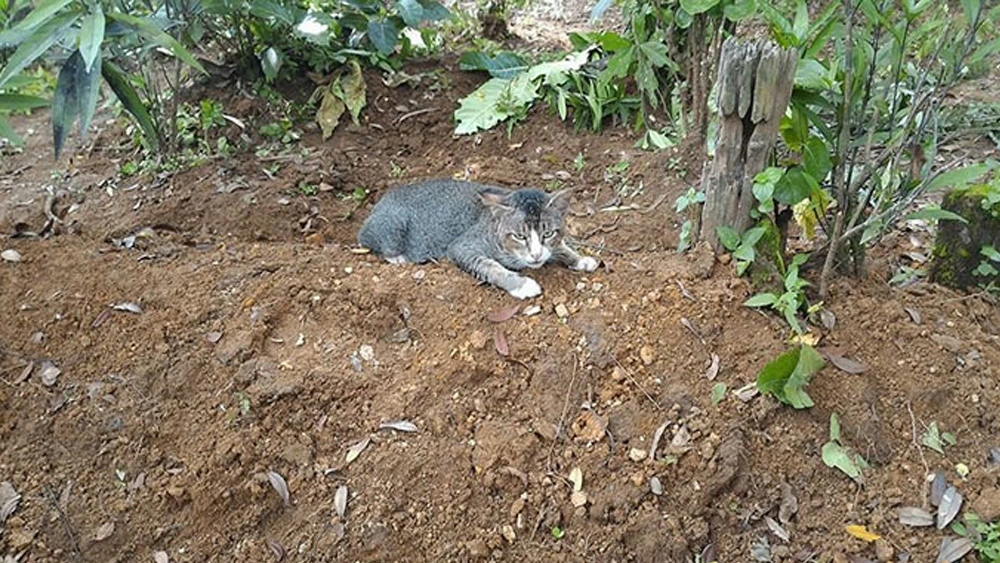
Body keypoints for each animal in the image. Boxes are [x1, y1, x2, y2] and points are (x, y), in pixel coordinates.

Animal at [358, 180, 596, 300]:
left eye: (548, 234)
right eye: (519, 236)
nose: (536, 254)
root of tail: (379, 204)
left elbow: (560, 247)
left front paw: (579, 259)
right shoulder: (462, 247)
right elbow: (492, 267)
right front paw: (521, 284)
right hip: (392, 227)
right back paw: (398, 258)